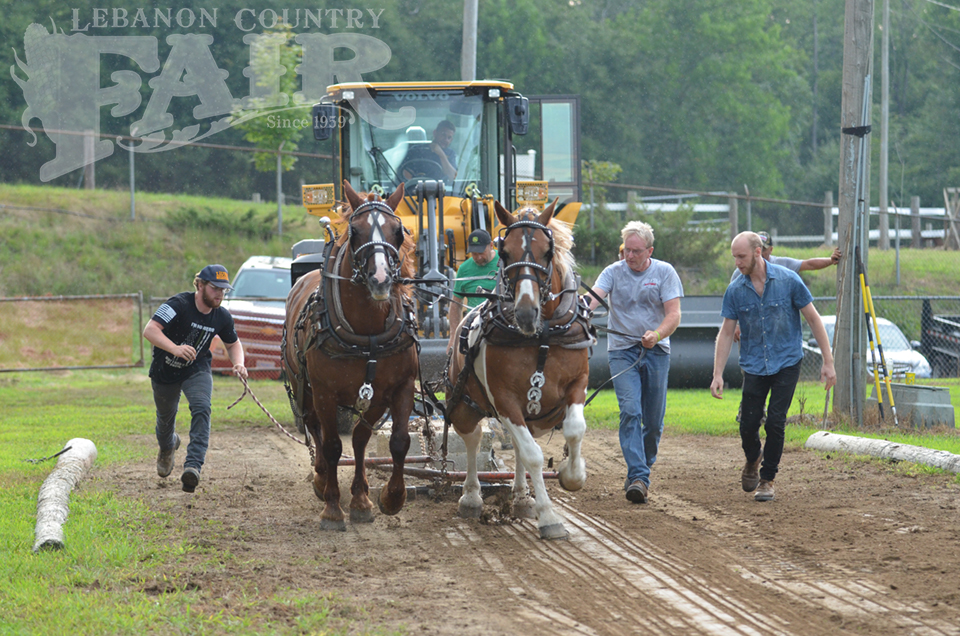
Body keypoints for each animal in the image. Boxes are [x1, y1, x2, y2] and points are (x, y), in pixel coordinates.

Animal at [284, 180, 420, 532]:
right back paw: (321, 480)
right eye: (355, 231)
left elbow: (392, 441)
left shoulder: (396, 389)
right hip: (303, 387)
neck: (366, 332)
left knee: (354, 438)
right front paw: (332, 508)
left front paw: (384, 498)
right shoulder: (325, 392)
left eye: (398, 231)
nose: (381, 279)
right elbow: (333, 446)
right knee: (315, 430)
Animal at [448, 201, 596, 540]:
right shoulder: (504, 399)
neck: (541, 337)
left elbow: (574, 429)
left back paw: (520, 497)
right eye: (505, 252)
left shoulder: (577, 383)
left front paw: (572, 475)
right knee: (474, 438)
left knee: (516, 444)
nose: (526, 313)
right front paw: (549, 517)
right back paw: (472, 497)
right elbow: (533, 455)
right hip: (465, 404)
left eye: (547, 251)